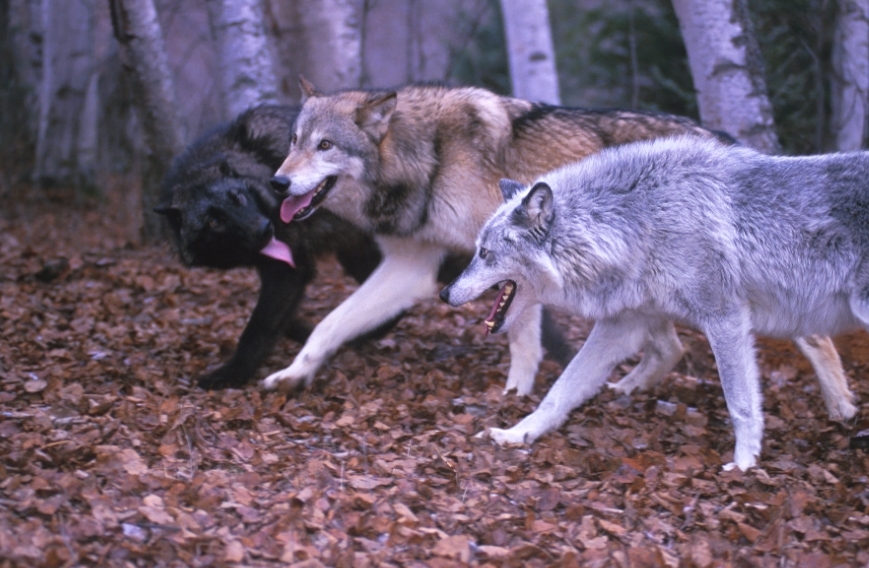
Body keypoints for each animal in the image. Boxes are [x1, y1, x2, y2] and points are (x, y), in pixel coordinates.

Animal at [263, 80, 847, 406]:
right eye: (293, 142)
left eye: (325, 145)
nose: (277, 183)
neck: (428, 155)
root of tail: (721, 140)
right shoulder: (413, 268)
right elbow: (329, 324)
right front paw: (293, 374)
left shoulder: (510, 263)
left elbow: (522, 336)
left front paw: (515, 395)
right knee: (669, 348)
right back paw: (620, 391)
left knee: (814, 336)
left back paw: (841, 406)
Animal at [440, 135, 864, 470]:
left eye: (484, 253)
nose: (445, 293)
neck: (637, 222)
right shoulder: (622, 325)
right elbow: (559, 390)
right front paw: (518, 434)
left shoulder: (724, 318)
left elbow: (741, 404)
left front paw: (744, 465)